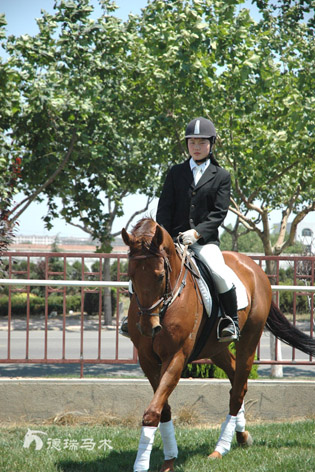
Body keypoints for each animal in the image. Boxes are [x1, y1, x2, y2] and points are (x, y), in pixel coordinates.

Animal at [121, 218, 315, 472]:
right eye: (131, 275)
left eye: (160, 275)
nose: (147, 327)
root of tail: (252, 266)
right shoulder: (147, 360)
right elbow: (163, 409)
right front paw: (169, 458)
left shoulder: (176, 357)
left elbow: (153, 411)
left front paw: (143, 464)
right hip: (215, 349)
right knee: (236, 382)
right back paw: (241, 436)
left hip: (249, 342)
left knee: (238, 389)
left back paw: (220, 448)